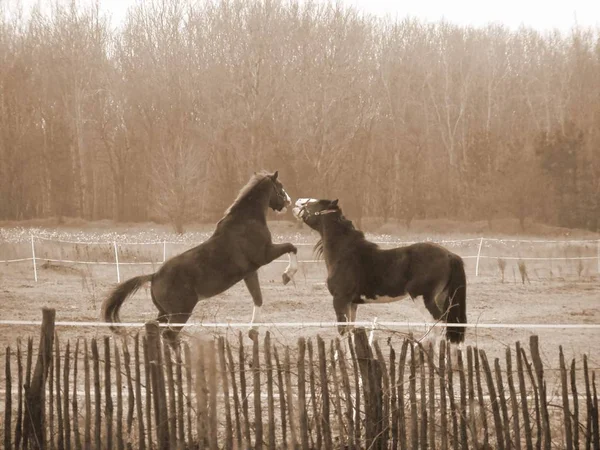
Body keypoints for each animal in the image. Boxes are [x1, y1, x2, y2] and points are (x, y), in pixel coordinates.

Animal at [105, 170, 300, 342]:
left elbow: (258, 299)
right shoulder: (264, 255)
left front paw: (253, 332)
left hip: (165, 313)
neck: (247, 221)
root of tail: (154, 276)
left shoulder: (250, 272)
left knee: (156, 331)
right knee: (169, 335)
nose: (289, 202)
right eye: (280, 186)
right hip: (180, 313)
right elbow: (292, 247)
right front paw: (287, 275)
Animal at [292, 196, 466, 344]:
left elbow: (343, 333)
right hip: (442, 298)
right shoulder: (352, 303)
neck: (345, 253)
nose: (296, 202)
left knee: (436, 325)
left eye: (313, 203)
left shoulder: (340, 300)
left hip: (423, 298)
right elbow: (351, 332)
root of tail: (449, 255)